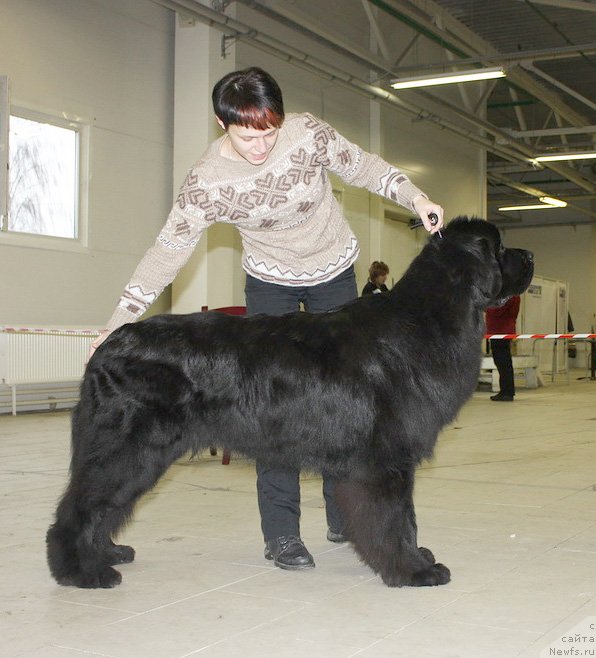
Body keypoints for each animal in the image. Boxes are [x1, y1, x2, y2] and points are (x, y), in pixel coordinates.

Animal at [45, 218, 532, 588]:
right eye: (499, 248)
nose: (529, 256)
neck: (426, 318)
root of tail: (109, 343)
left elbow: (407, 517)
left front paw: (417, 556)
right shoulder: (384, 460)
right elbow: (395, 519)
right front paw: (414, 571)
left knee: (102, 504)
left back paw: (107, 552)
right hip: (129, 447)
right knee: (80, 505)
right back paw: (82, 572)